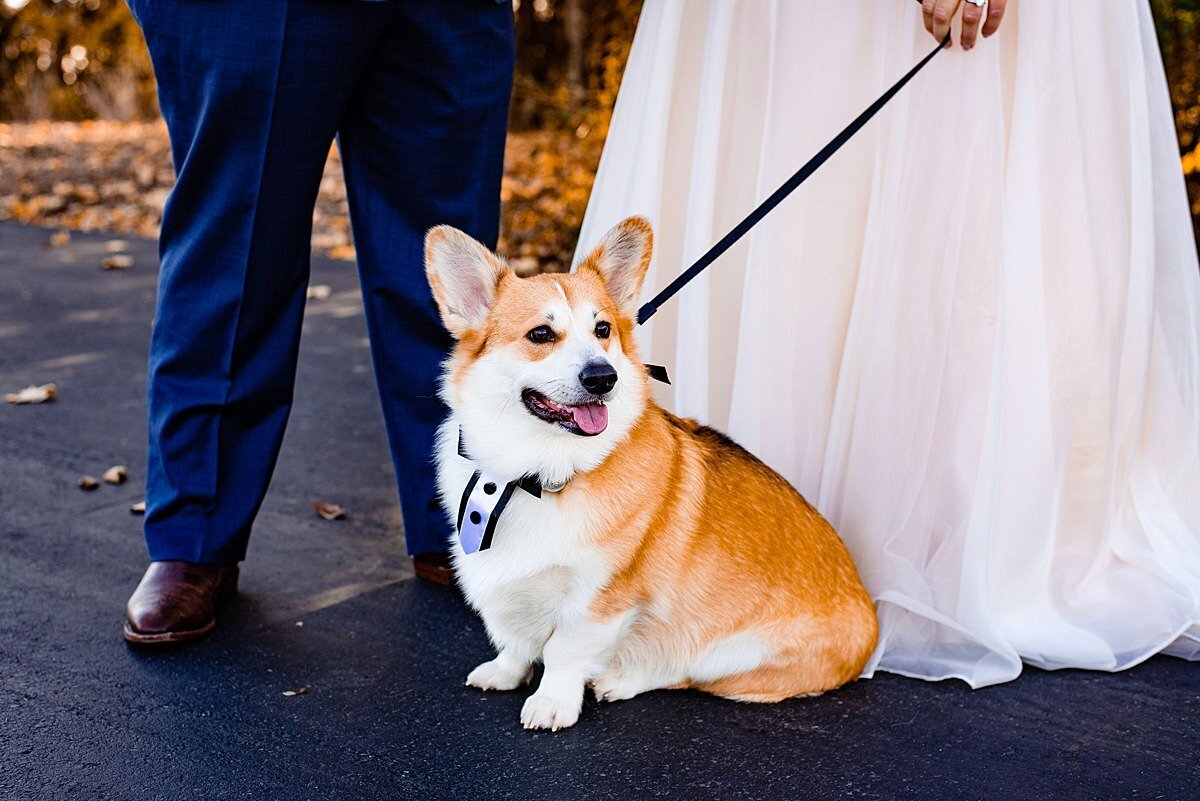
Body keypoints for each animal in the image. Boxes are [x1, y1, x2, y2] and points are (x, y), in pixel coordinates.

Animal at [427, 215, 878, 729]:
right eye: (541, 335)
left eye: (603, 329)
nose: (603, 377)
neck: (532, 473)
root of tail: (870, 624)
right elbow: (514, 639)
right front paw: (506, 671)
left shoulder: (599, 598)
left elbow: (563, 651)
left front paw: (552, 702)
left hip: (727, 656)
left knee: (685, 673)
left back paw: (620, 680)